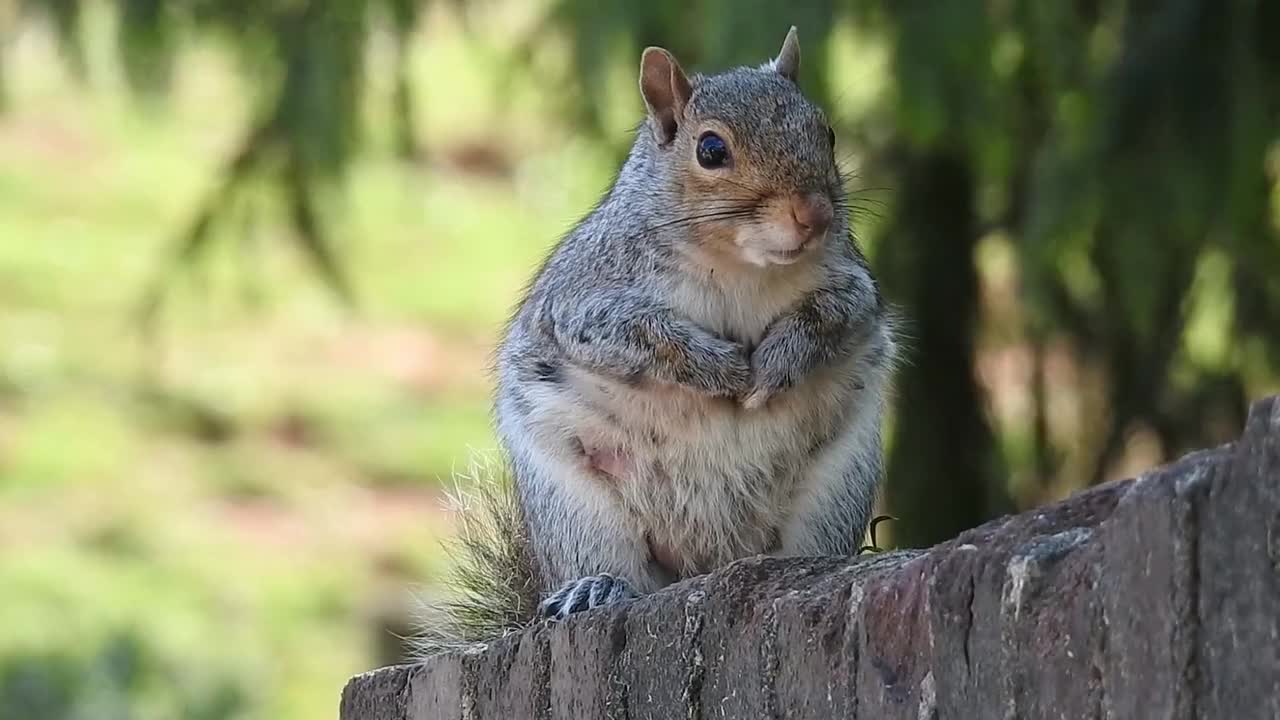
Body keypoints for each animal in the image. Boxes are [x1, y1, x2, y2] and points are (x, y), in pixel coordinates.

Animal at [414, 26, 896, 655]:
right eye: (711, 150)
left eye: (827, 132)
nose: (814, 215)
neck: (740, 266)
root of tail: (705, 564)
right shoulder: (584, 299)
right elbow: (641, 335)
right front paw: (724, 369)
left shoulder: (853, 286)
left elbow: (833, 318)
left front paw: (775, 362)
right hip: (576, 510)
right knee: (608, 565)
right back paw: (594, 590)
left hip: (839, 484)